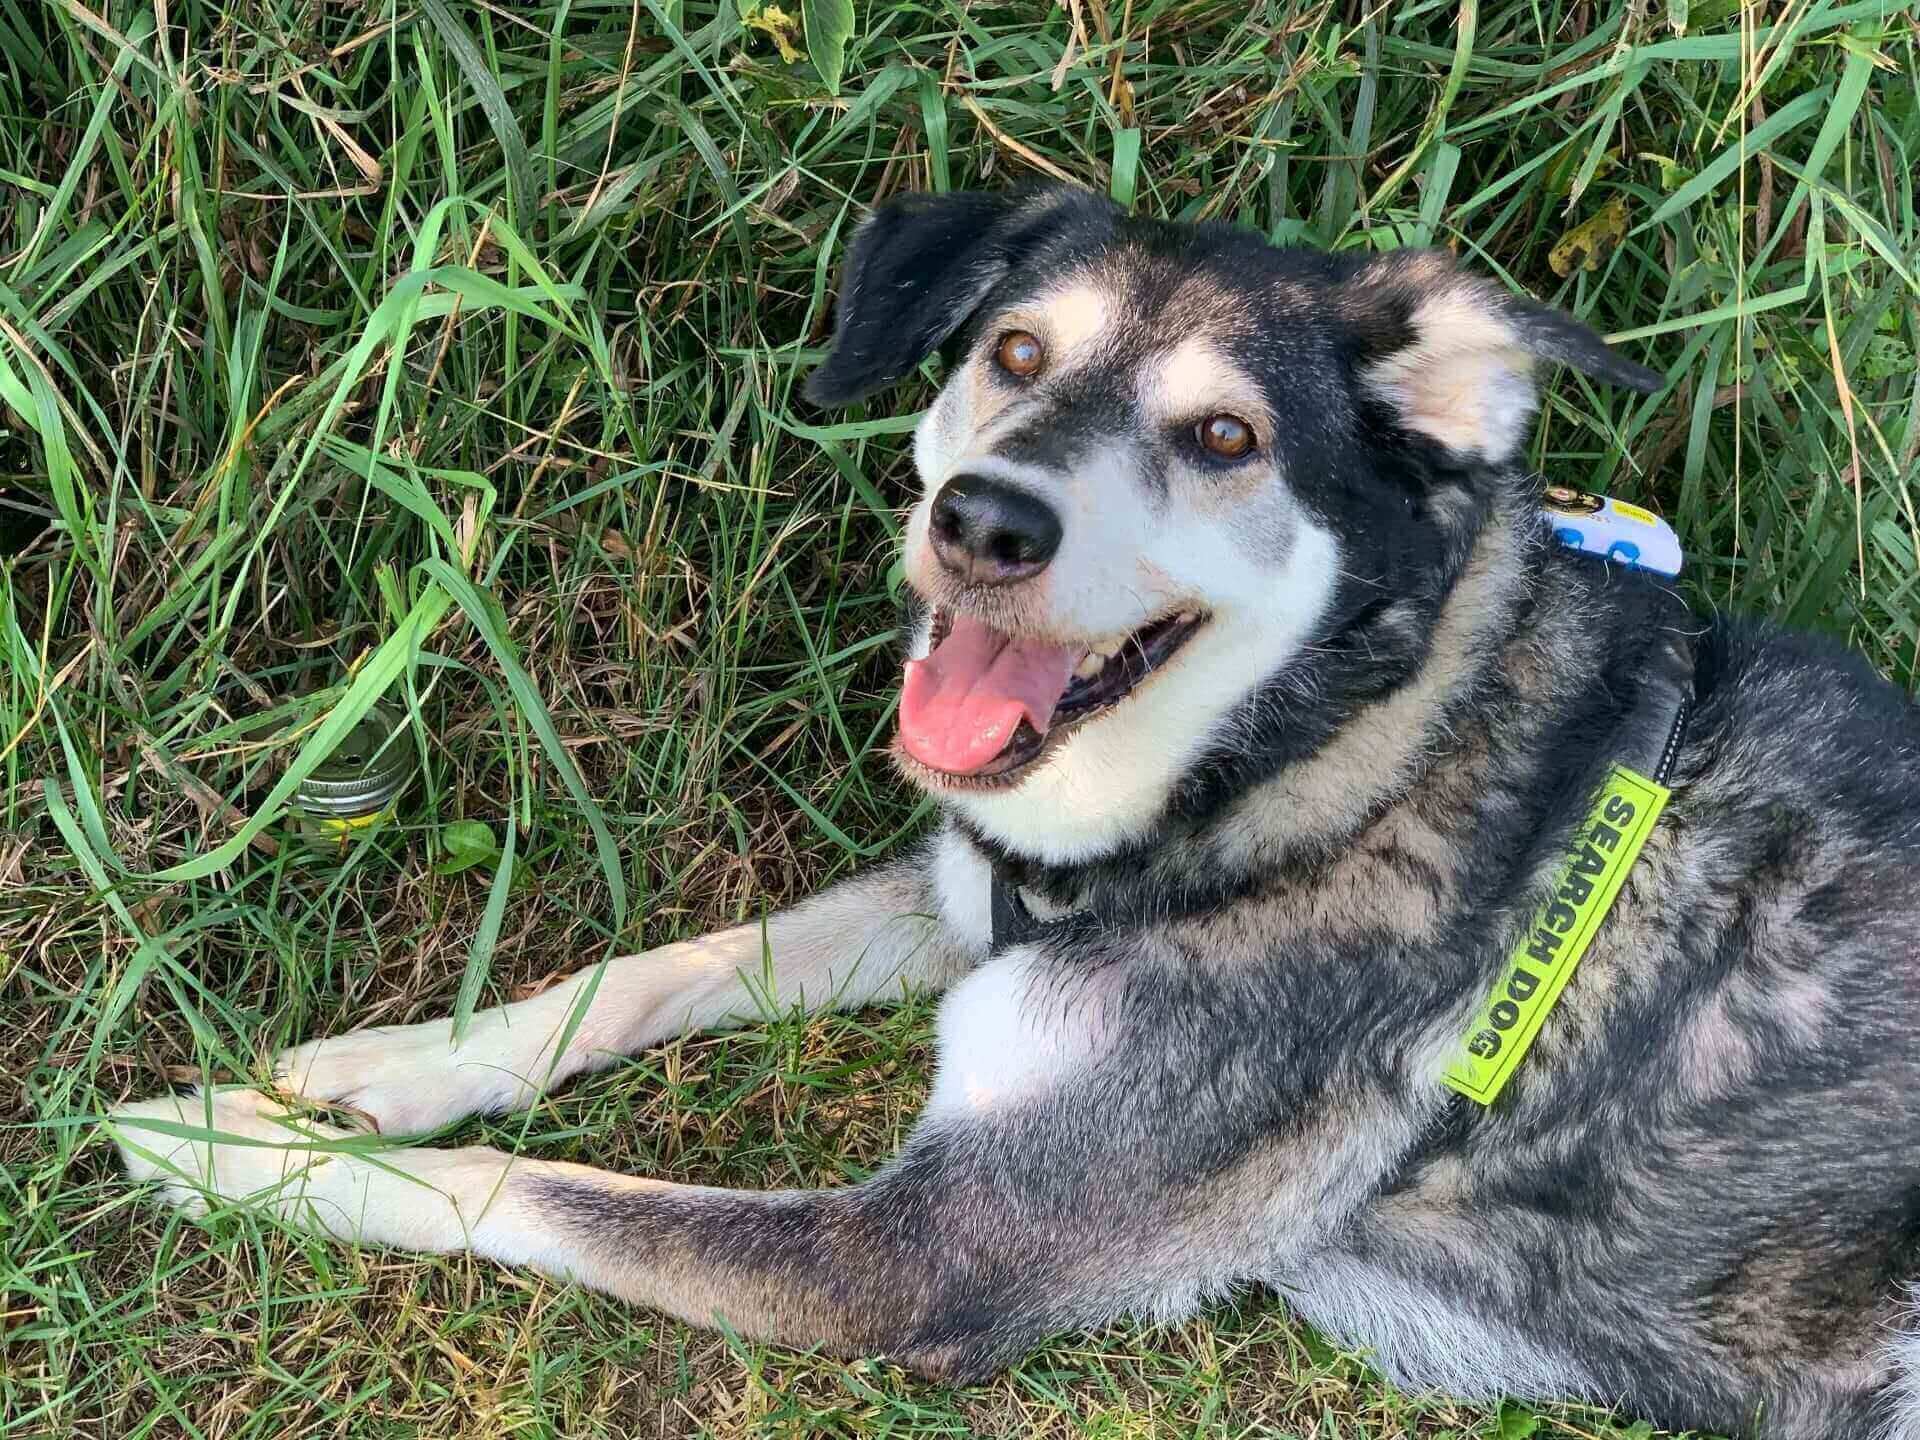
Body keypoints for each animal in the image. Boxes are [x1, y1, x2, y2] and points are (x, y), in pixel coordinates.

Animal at [108, 186, 1920, 1436]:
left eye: (1223, 436)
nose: (985, 522)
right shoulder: (970, 889)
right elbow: (649, 972)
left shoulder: (919, 1258)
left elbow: (534, 1190)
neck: (1328, 757)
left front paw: (230, 1153)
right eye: (1016, 354)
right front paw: (378, 1071)